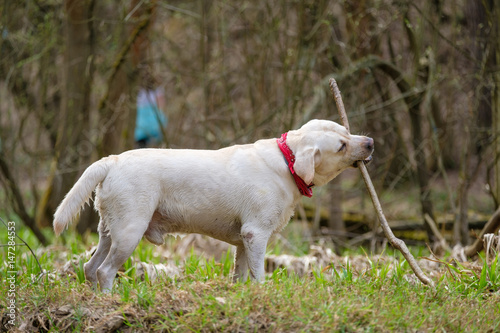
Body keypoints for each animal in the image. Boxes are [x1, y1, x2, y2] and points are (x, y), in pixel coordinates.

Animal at [55, 119, 376, 290]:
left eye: (346, 130)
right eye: (341, 146)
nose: (370, 142)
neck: (288, 161)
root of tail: (112, 161)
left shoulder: (243, 241)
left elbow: (241, 275)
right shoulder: (256, 234)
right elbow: (259, 275)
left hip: (109, 233)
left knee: (90, 266)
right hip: (129, 233)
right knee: (104, 271)